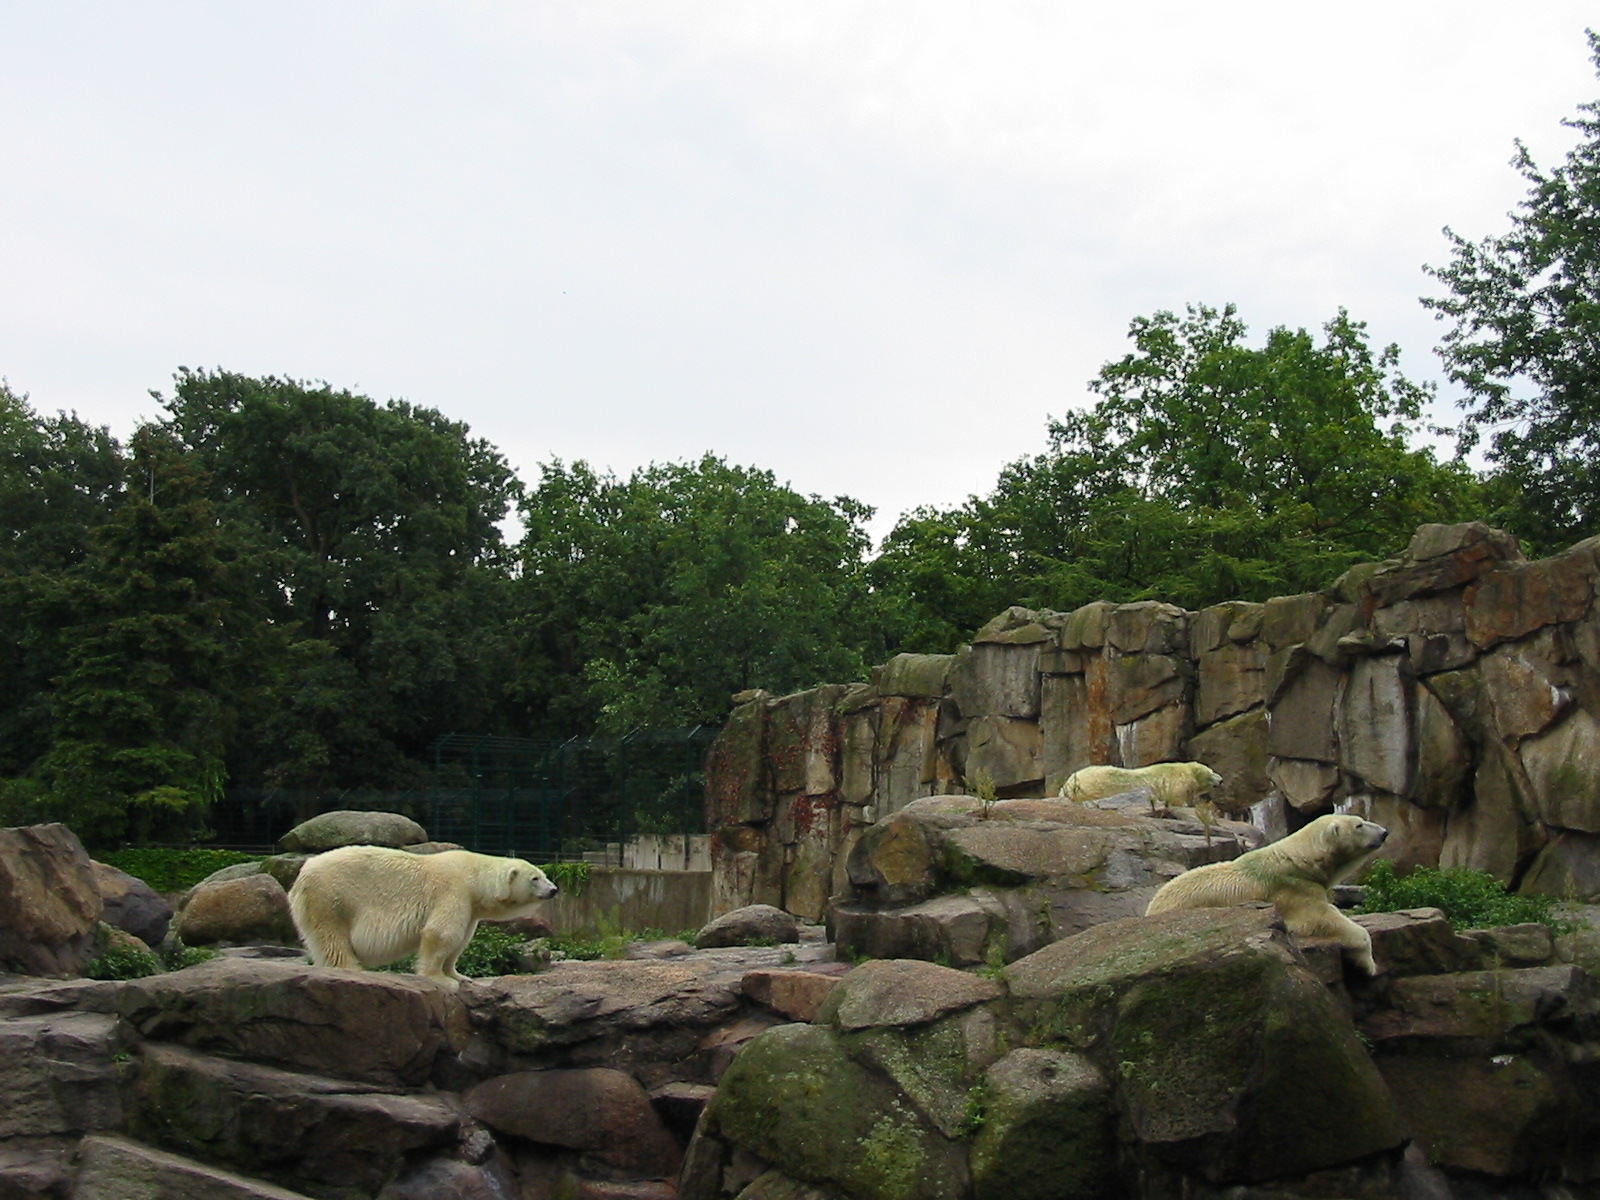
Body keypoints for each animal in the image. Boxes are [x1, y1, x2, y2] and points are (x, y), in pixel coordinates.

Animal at [288, 846, 558, 987]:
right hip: (331, 897)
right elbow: (442, 933)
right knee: (333, 937)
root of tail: (300, 878)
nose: (554, 890)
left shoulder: (471, 907)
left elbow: (460, 940)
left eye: (543, 874)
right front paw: (441, 979)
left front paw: (459, 975)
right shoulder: (453, 889)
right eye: (535, 878)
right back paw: (351, 969)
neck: (475, 878)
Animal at [1145, 813, 1389, 974]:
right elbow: (1319, 918)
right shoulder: (1293, 888)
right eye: (1359, 825)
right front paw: (1368, 964)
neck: (1301, 860)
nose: (1384, 832)